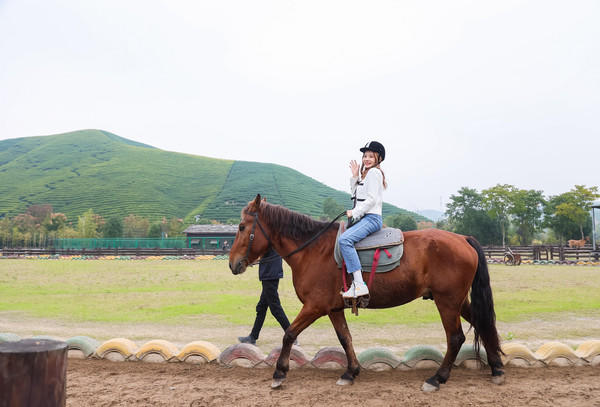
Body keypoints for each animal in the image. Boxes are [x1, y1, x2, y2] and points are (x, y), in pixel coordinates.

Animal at [227, 196, 504, 394]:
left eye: (241, 227)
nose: (232, 264)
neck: (314, 251)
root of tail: (463, 238)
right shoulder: (333, 309)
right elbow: (345, 338)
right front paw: (351, 372)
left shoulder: (314, 307)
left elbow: (289, 334)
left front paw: (279, 373)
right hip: (457, 301)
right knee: (482, 324)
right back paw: (497, 368)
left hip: (447, 302)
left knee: (455, 337)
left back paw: (437, 378)